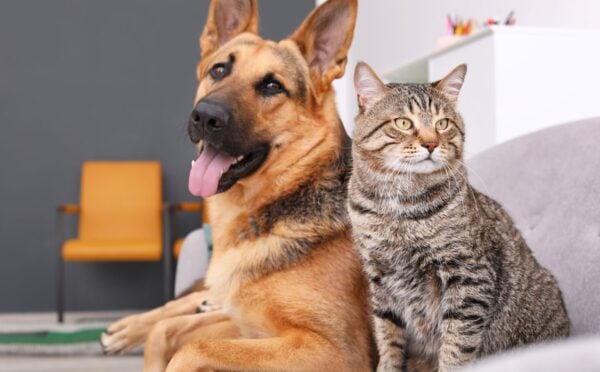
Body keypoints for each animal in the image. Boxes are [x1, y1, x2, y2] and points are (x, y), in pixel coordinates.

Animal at [101, 0, 372, 370]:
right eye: (219, 70)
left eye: (272, 86)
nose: (205, 116)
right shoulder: (247, 324)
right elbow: (164, 332)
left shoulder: (337, 351)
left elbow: (190, 348)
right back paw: (124, 329)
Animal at [346, 62, 568, 370]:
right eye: (403, 123)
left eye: (443, 124)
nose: (430, 144)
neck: (398, 207)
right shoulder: (380, 281)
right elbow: (388, 341)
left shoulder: (468, 275)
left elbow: (456, 345)